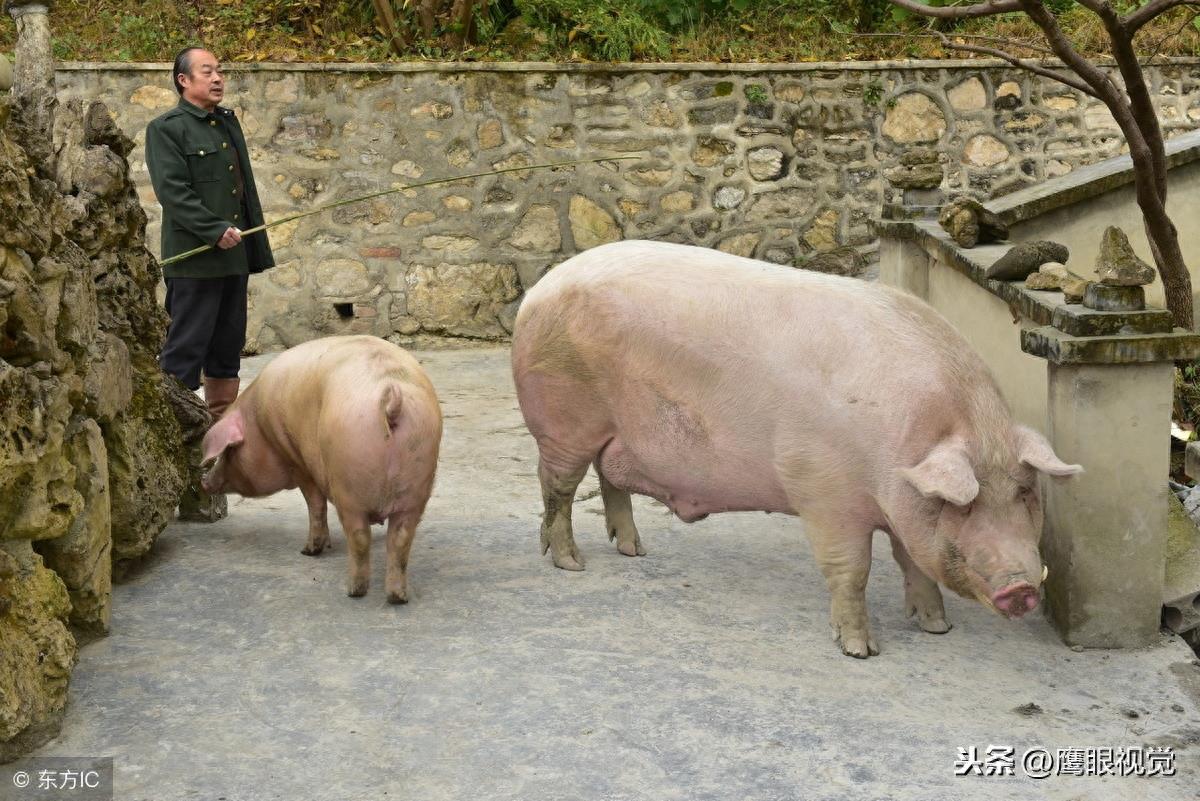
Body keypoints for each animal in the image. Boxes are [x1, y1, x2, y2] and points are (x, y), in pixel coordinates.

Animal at [201, 335, 446, 604]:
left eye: (228, 452)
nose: (204, 479)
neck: (261, 426)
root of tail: (390, 400)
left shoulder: (299, 465)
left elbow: (315, 505)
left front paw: (308, 551)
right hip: (416, 486)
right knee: (401, 538)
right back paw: (397, 597)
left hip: (349, 485)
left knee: (360, 537)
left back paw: (352, 590)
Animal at [511, 241, 1084, 661]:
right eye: (963, 503)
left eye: (1026, 493)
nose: (1021, 588)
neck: (899, 452)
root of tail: (541, 287)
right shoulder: (822, 491)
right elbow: (852, 570)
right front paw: (861, 651)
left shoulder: (900, 509)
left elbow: (912, 561)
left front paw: (937, 628)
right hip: (562, 425)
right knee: (557, 488)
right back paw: (572, 564)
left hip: (614, 433)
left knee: (609, 478)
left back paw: (635, 551)